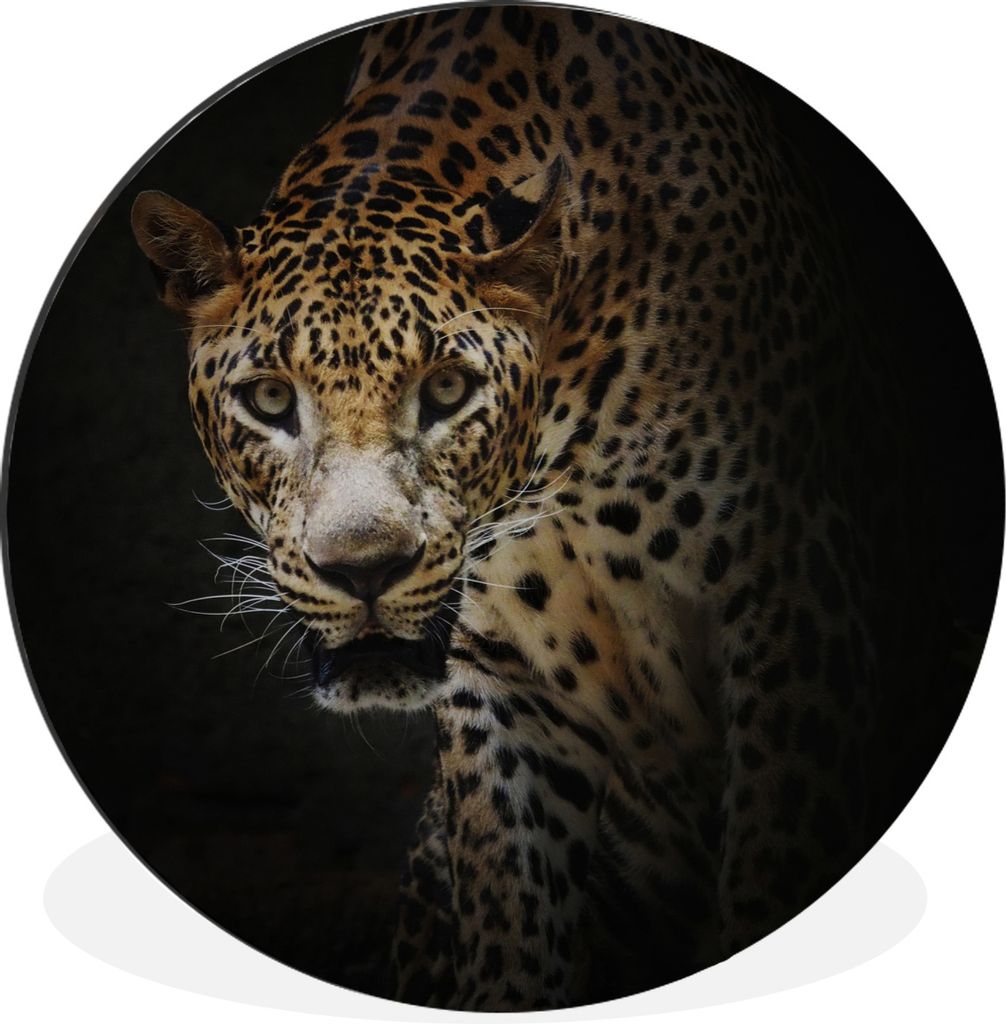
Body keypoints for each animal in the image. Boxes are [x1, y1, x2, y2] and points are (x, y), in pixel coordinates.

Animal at [130, 4, 942, 1010]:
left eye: (446, 389)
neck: (552, 450)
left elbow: (773, 850)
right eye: (272, 400)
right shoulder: (497, 677)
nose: (365, 571)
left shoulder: (796, 601)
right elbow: (512, 924)